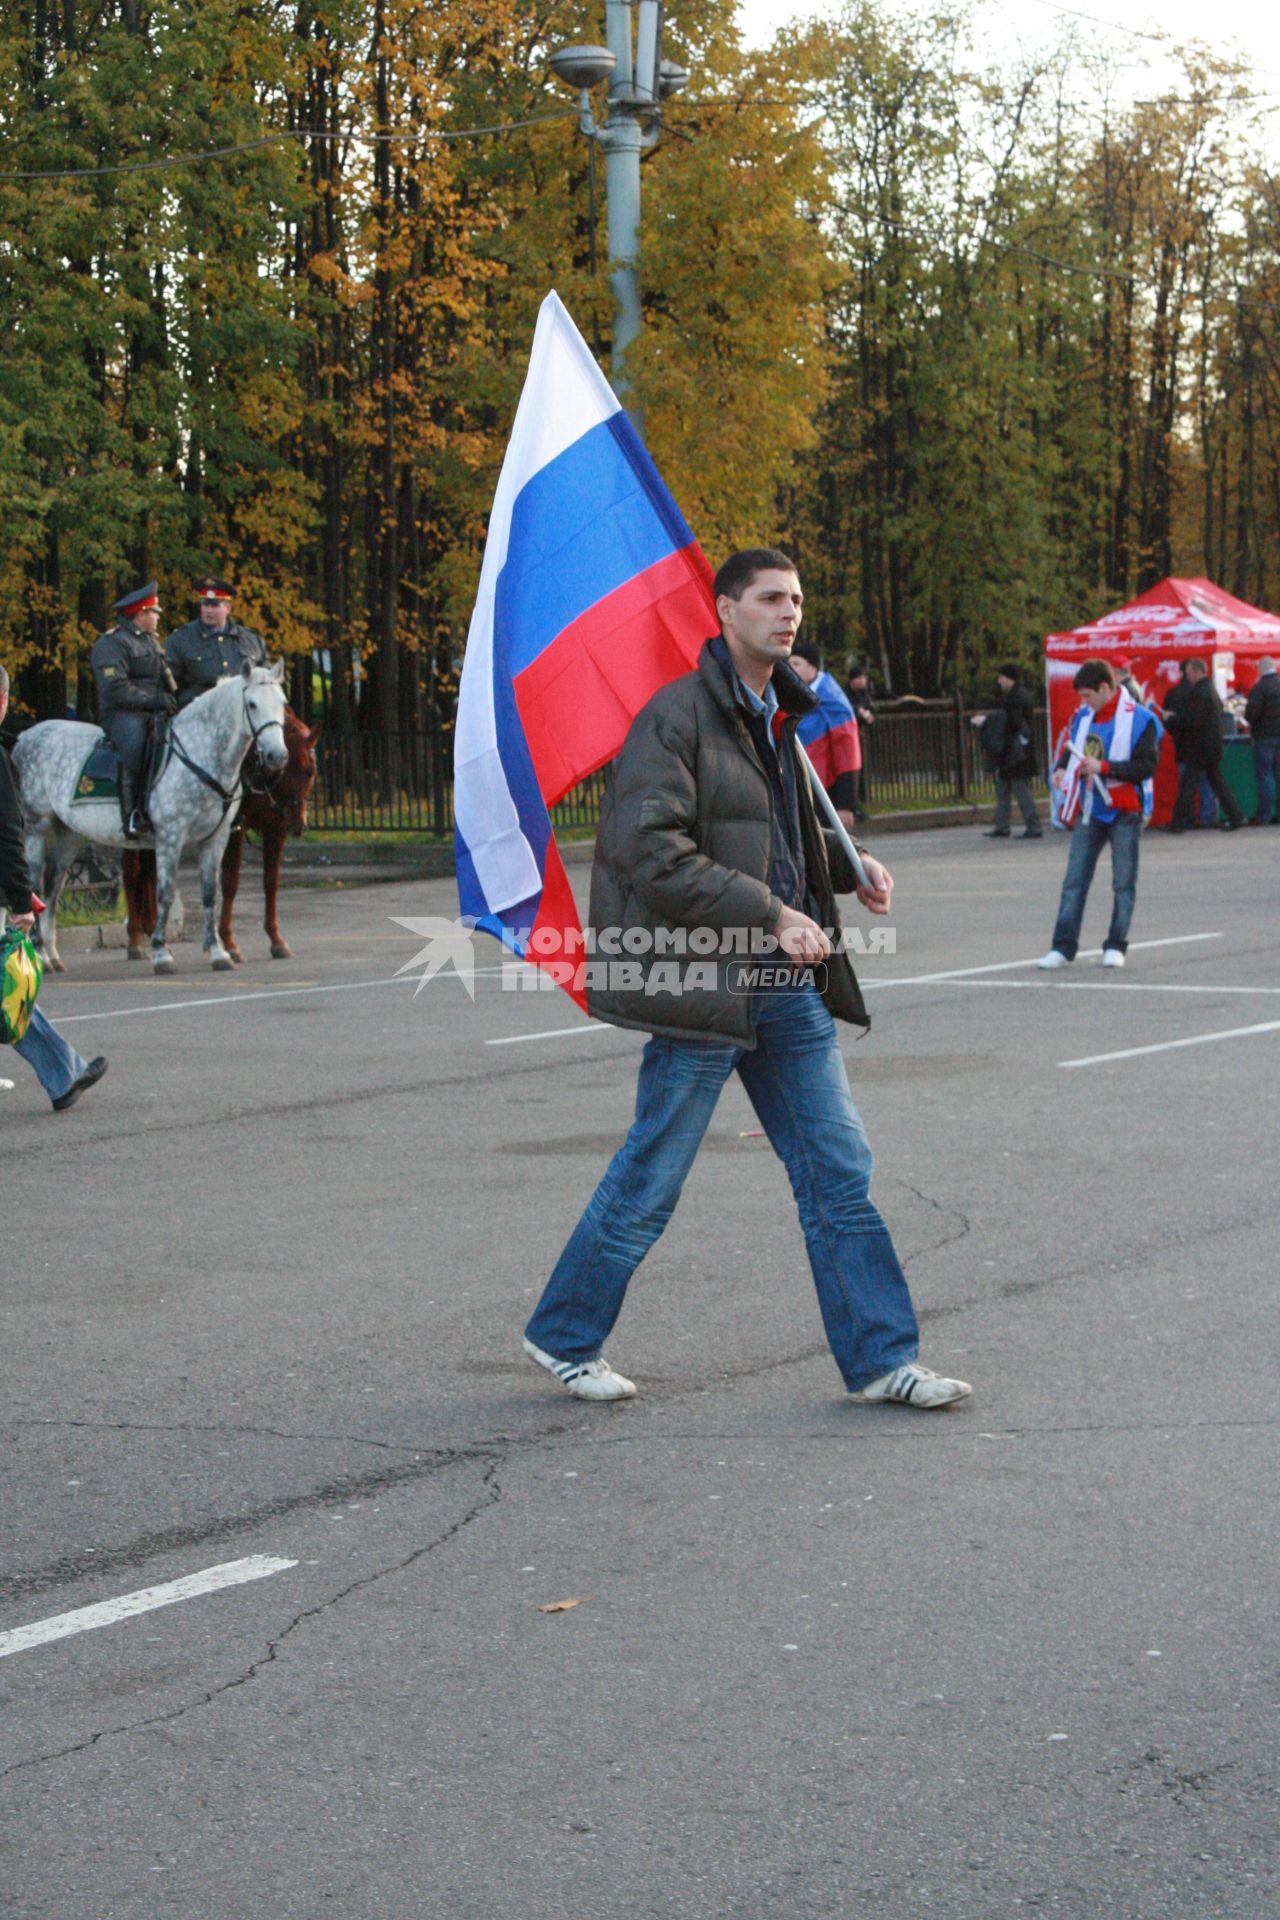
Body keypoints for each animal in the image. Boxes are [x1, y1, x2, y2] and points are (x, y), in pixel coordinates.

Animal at [14, 668, 285, 975]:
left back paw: (51, 955)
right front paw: (161, 953)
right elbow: (164, 894)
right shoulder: (170, 838)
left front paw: (218, 953)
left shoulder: (216, 839)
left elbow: (209, 894)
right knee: (34, 887)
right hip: (37, 828)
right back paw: (39, 955)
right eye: (252, 704)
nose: (277, 755)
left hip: (67, 834)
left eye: (282, 702)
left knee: (53, 888)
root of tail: (26, 736)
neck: (200, 756)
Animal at [122, 710, 320, 960]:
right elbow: (230, 883)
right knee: (132, 872)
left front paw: (276, 939)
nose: (298, 824)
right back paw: (135, 939)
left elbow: (271, 882)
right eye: (285, 768)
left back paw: (152, 931)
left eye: (310, 772)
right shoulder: (234, 829)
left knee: (150, 872)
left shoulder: (275, 830)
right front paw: (229, 942)